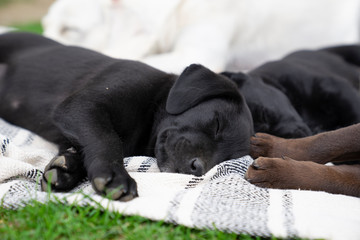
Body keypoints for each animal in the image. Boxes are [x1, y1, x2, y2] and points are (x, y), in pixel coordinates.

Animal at [0, 31, 253, 201]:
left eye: (226, 160)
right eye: (217, 124)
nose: (197, 168)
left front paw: (65, 169)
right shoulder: (81, 106)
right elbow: (108, 139)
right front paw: (115, 176)